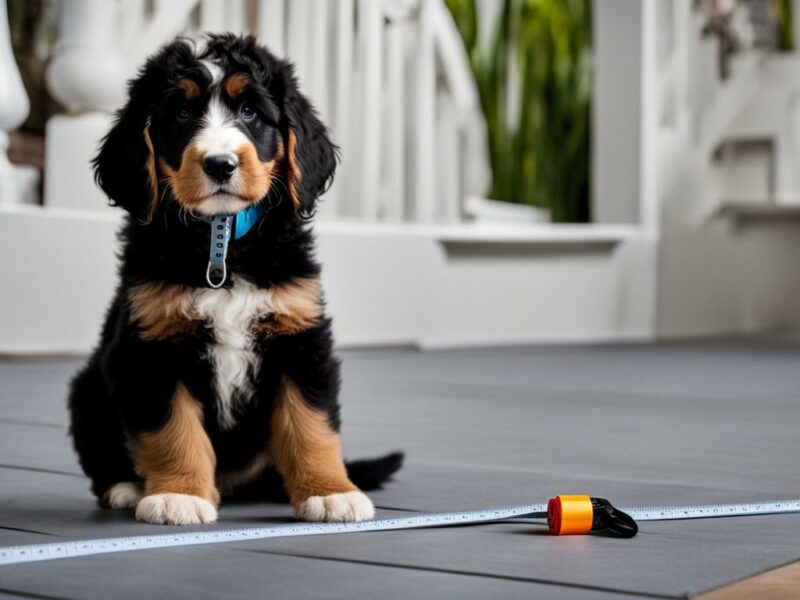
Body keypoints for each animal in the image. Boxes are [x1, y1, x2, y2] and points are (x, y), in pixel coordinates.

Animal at [68, 35, 404, 528]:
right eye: (181, 114)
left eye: (249, 112)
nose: (220, 165)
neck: (222, 239)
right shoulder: (150, 346)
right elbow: (172, 430)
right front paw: (179, 495)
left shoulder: (301, 337)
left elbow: (311, 425)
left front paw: (330, 492)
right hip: (89, 386)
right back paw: (128, 487)